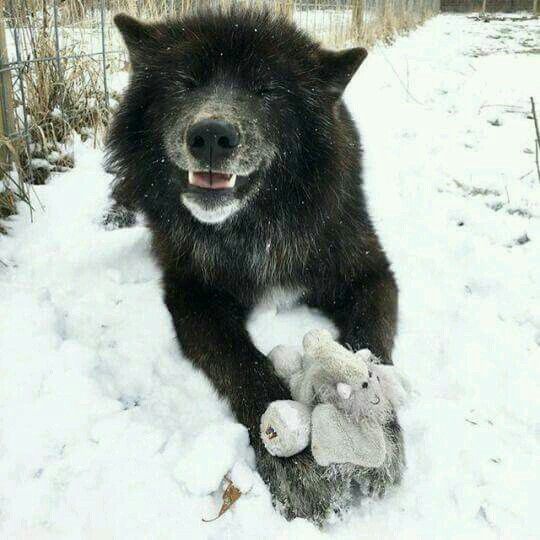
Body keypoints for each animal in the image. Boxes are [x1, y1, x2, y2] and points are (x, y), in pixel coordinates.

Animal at [106, 7, 400, 524]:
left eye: (267, 91)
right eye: (186, 82)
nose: (211, 136)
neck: (254, 230)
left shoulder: (370, 273)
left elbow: (371, 346)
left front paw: (379, 427)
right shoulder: (195, 296)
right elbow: (241, 361)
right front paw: (293, 459)